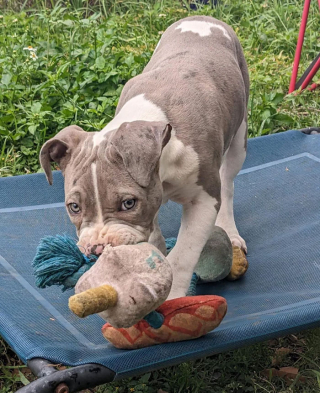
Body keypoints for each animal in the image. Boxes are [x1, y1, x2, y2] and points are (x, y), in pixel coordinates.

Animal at [40, 14, 250, 298]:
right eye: (74, 207)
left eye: (128, 203)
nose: (97, 249)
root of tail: (202, 16)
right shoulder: (152, 198)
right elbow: (152, 232)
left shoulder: (203, 200)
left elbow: (184, 253)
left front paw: (171, 295)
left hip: (239, 138)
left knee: (227, 182)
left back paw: (230, 230)